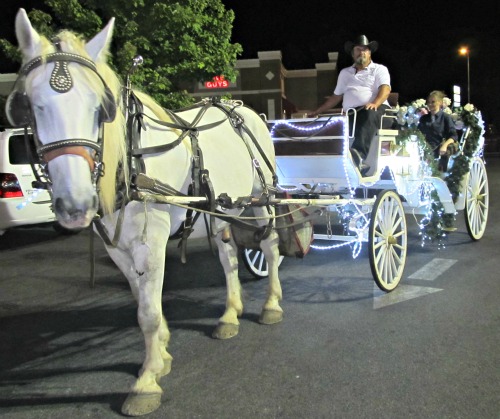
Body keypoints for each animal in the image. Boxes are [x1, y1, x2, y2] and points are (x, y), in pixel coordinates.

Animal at [8, 9, 282, 416]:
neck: (130, 160)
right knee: (228, 255)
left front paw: (147, 381)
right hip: (221, 208)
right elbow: (142, 302)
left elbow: (148, 312)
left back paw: (272, 304)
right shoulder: (118, 248)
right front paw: (161, 356)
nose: (75, 205)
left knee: (271, 246)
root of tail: (240, 107)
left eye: (99, 109)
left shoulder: (150, 242)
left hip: (260, 199)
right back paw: (230, 313)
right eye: (33, 105)